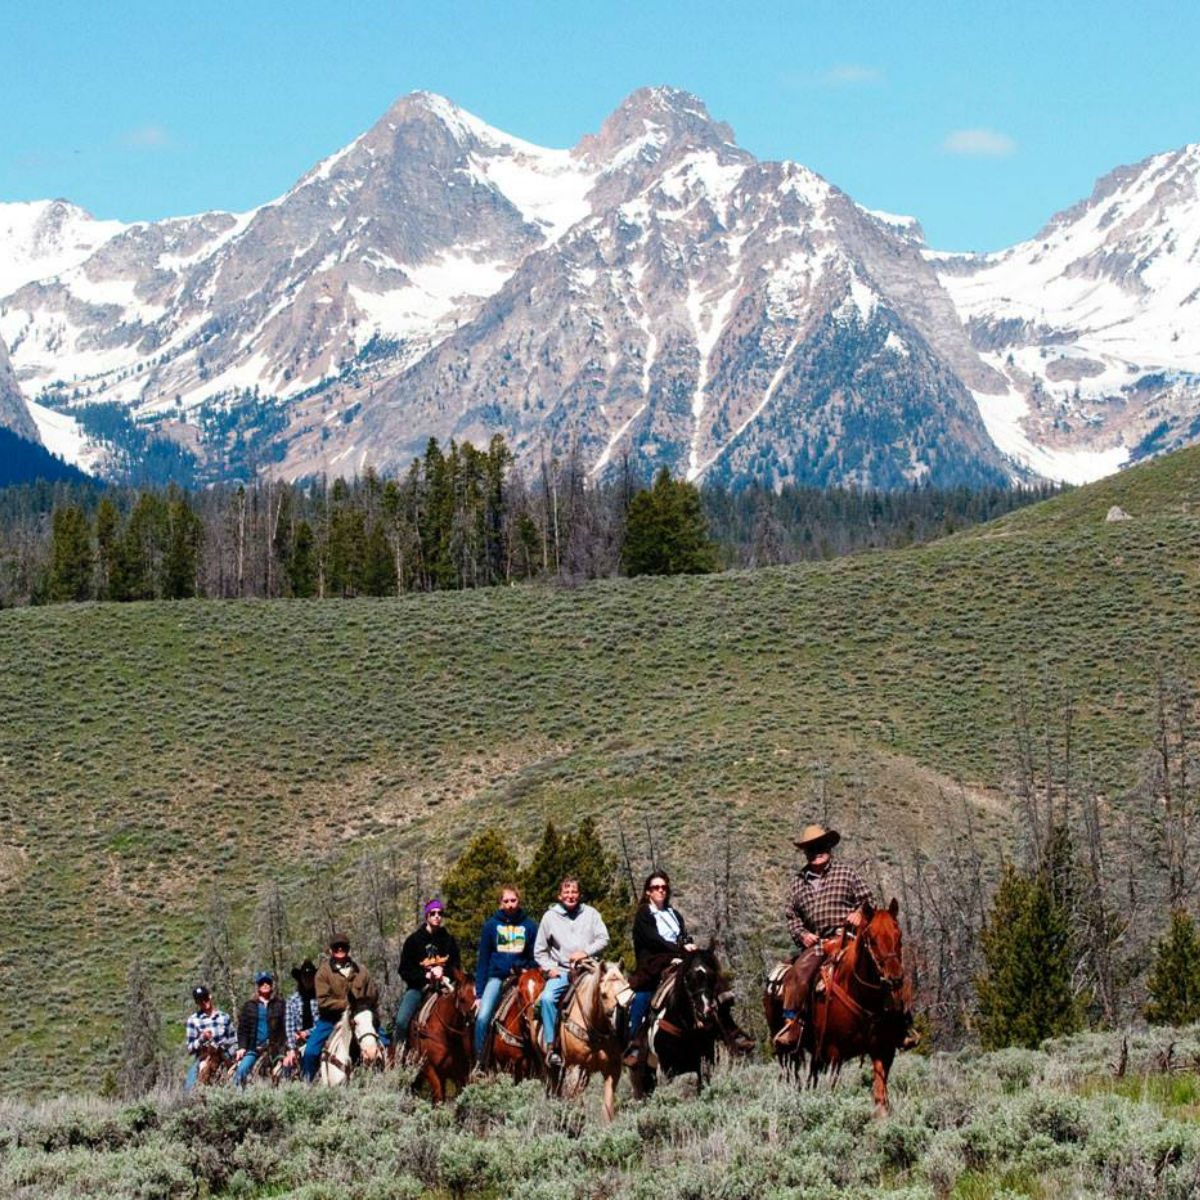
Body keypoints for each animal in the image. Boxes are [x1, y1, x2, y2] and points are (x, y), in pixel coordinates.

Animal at [552, 960, 628, 1118]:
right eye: (603, 994)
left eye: (626, 989)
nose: (617, 1024)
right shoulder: (575, 1067)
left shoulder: (613, 1069)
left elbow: (608, 1108)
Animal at [763, 902, 902, 1113]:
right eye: (872, 939)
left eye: (898, 935)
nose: (895, 978)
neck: (859, 992)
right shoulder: (834, 1052)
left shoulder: (881, 1049)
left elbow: (880, 1094)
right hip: (784, 1047)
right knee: (790, 1075)